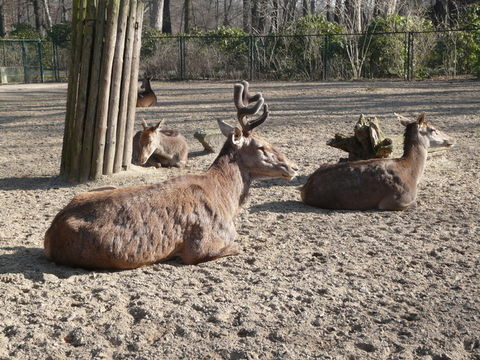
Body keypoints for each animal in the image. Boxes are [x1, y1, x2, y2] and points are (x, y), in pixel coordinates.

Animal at [46, 80, 300, 268]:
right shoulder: (200, 248)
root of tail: (49, 235)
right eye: (261, 146)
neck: (226, 201)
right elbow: (238, 246)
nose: (294, 167)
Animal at [302, 114, 456, 211]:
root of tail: (304, 189)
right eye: (433, 129)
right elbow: (415, 203)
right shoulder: (394, 200)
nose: (452, 139)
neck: (412, 173)